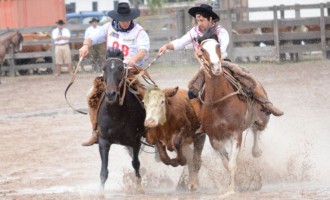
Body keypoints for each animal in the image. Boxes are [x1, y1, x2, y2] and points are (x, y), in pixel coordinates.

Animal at [197, 30, 270, 194]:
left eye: (218, 45)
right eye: (202, 49)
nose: (216, 66)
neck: (218, 102)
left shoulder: (236, 134)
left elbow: (231, 164)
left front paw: (231, 189)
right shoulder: (214, 138)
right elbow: (226, 163)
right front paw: (227, 188)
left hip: (262, 117)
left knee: (257, 130)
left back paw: (257, 151)